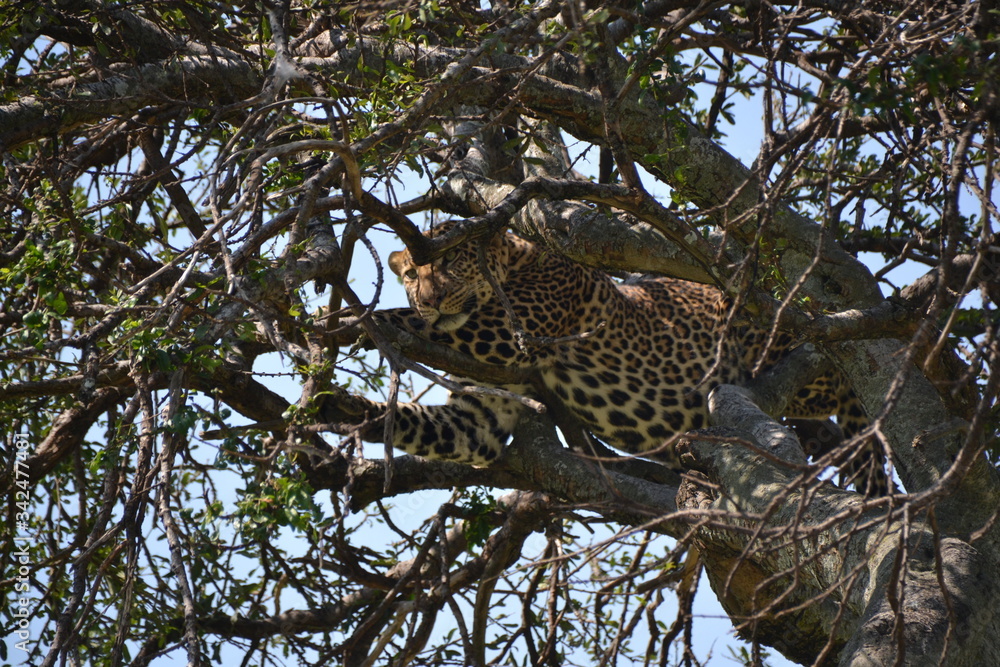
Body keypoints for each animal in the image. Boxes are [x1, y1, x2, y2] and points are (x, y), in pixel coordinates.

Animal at [327, 222, 889, 496]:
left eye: (451, 261)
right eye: (410, 274)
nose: (430, 297)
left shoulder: (508, 334)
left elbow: (404, 320)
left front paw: (346, 319)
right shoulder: (481, 415)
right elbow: (425, 422)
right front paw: (340, 407)